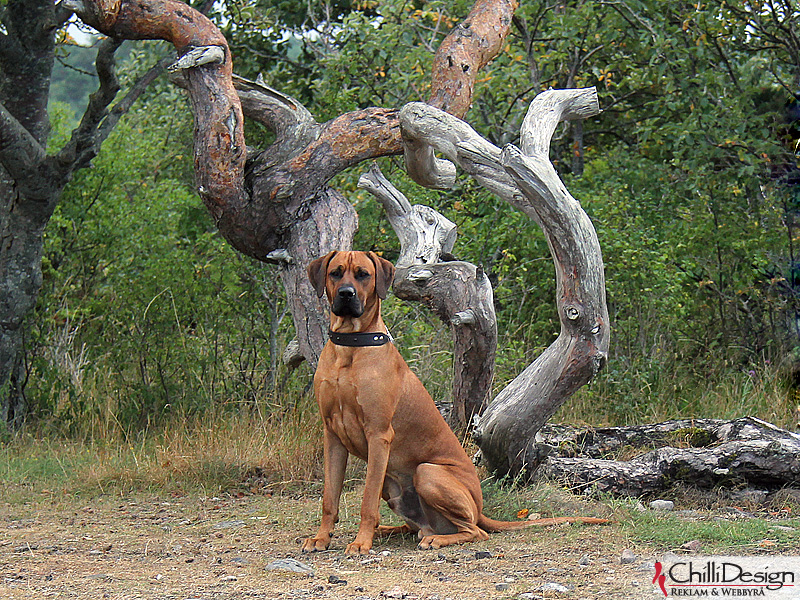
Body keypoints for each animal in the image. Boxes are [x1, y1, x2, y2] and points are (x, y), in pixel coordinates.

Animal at [304, 251, 604, 556]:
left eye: (363, 274)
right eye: (336, 272)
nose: (346, 294)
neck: (350, 345)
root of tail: (480, 507)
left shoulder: (378, 434)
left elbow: (367, 500)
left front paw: (360, 542)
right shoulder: (332, 436)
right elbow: (329, 498)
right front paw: (321, 538)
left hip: (427, 472)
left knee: (475, 532)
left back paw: (433, 539)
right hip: (394, 487)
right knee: (419, 527)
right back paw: (389, 530)